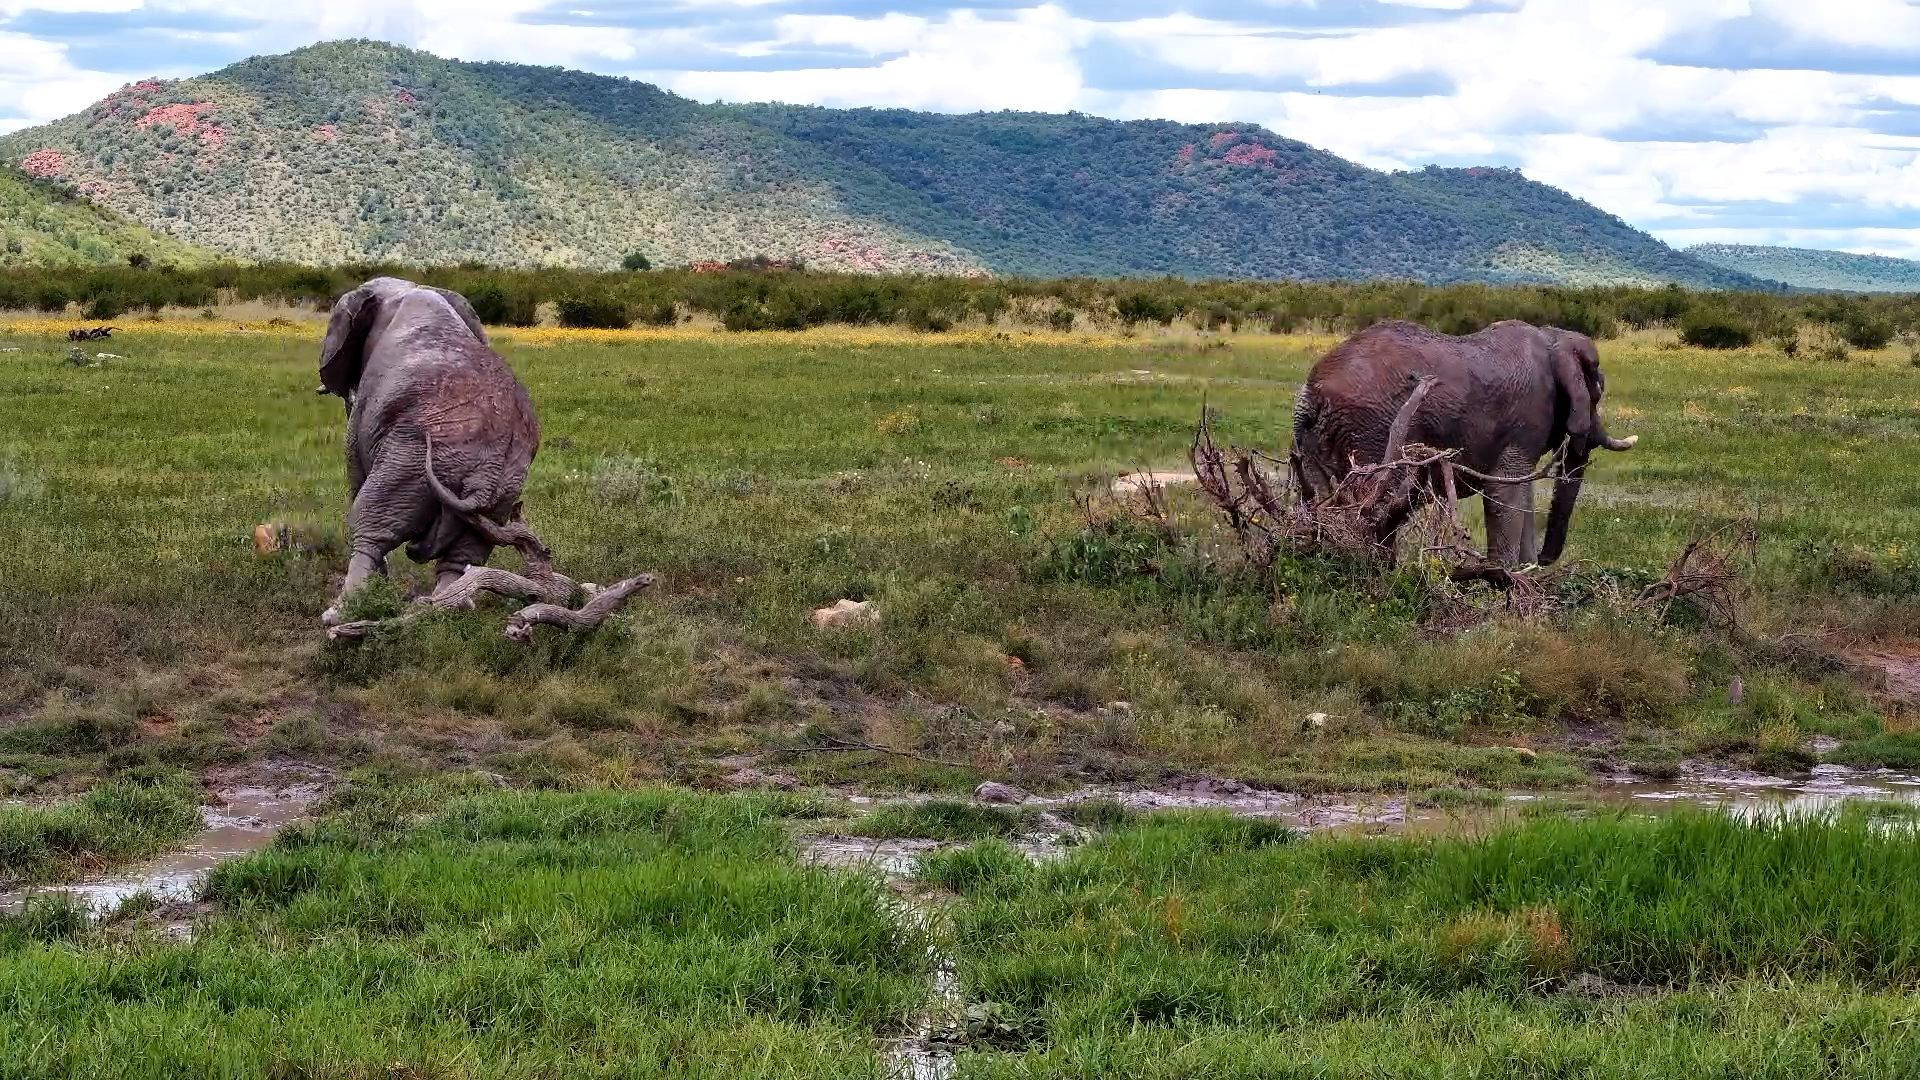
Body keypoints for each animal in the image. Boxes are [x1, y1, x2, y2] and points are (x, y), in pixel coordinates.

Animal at [316, 277, 540, 626]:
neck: (408, 289)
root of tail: (486, 474)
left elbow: (356, 477)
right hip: (505, 483)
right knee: (469, 549)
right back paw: (449, 605)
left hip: (411, 460)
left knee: (370, 524)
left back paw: (338, 613)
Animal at [1289, 319, 1636, 566]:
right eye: (1597, 392)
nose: (1542, 558)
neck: (1553, 337)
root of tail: (1310, 393)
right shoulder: (1526, 417)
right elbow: (1506, 490)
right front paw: (1504, 581)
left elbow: (1521, 492)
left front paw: (1526, 577)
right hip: (1372, 431)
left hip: (1316, 441)